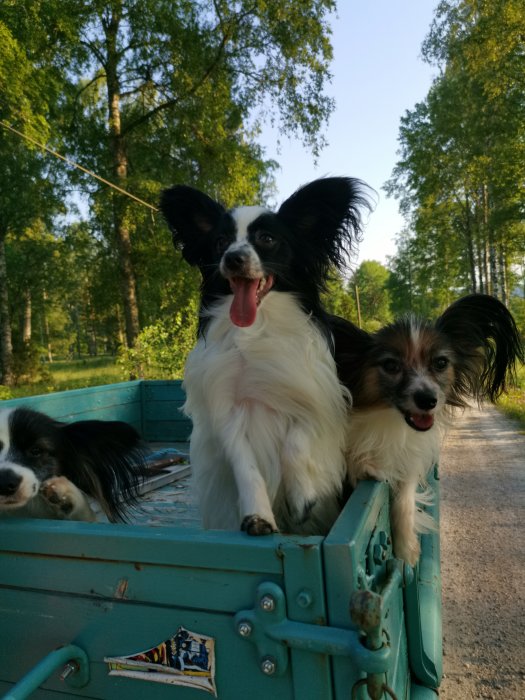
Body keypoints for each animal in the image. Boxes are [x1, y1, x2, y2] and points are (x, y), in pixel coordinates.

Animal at [162, 176, 370, 536]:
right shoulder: (228, 413)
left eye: (267, 239)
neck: (257, 327)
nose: (233, 258)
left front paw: (301, 498)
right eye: (220, 242)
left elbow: (295, 444)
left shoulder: (314, 399)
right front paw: (258, 515)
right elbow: (246, 468)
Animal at [330, 292, 520, 568]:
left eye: (441, 363)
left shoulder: (409, 463)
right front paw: (363, 465)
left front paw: (406, 548)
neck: (390, 421)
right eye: (391, 366)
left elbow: (405, 501)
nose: (428, 400)